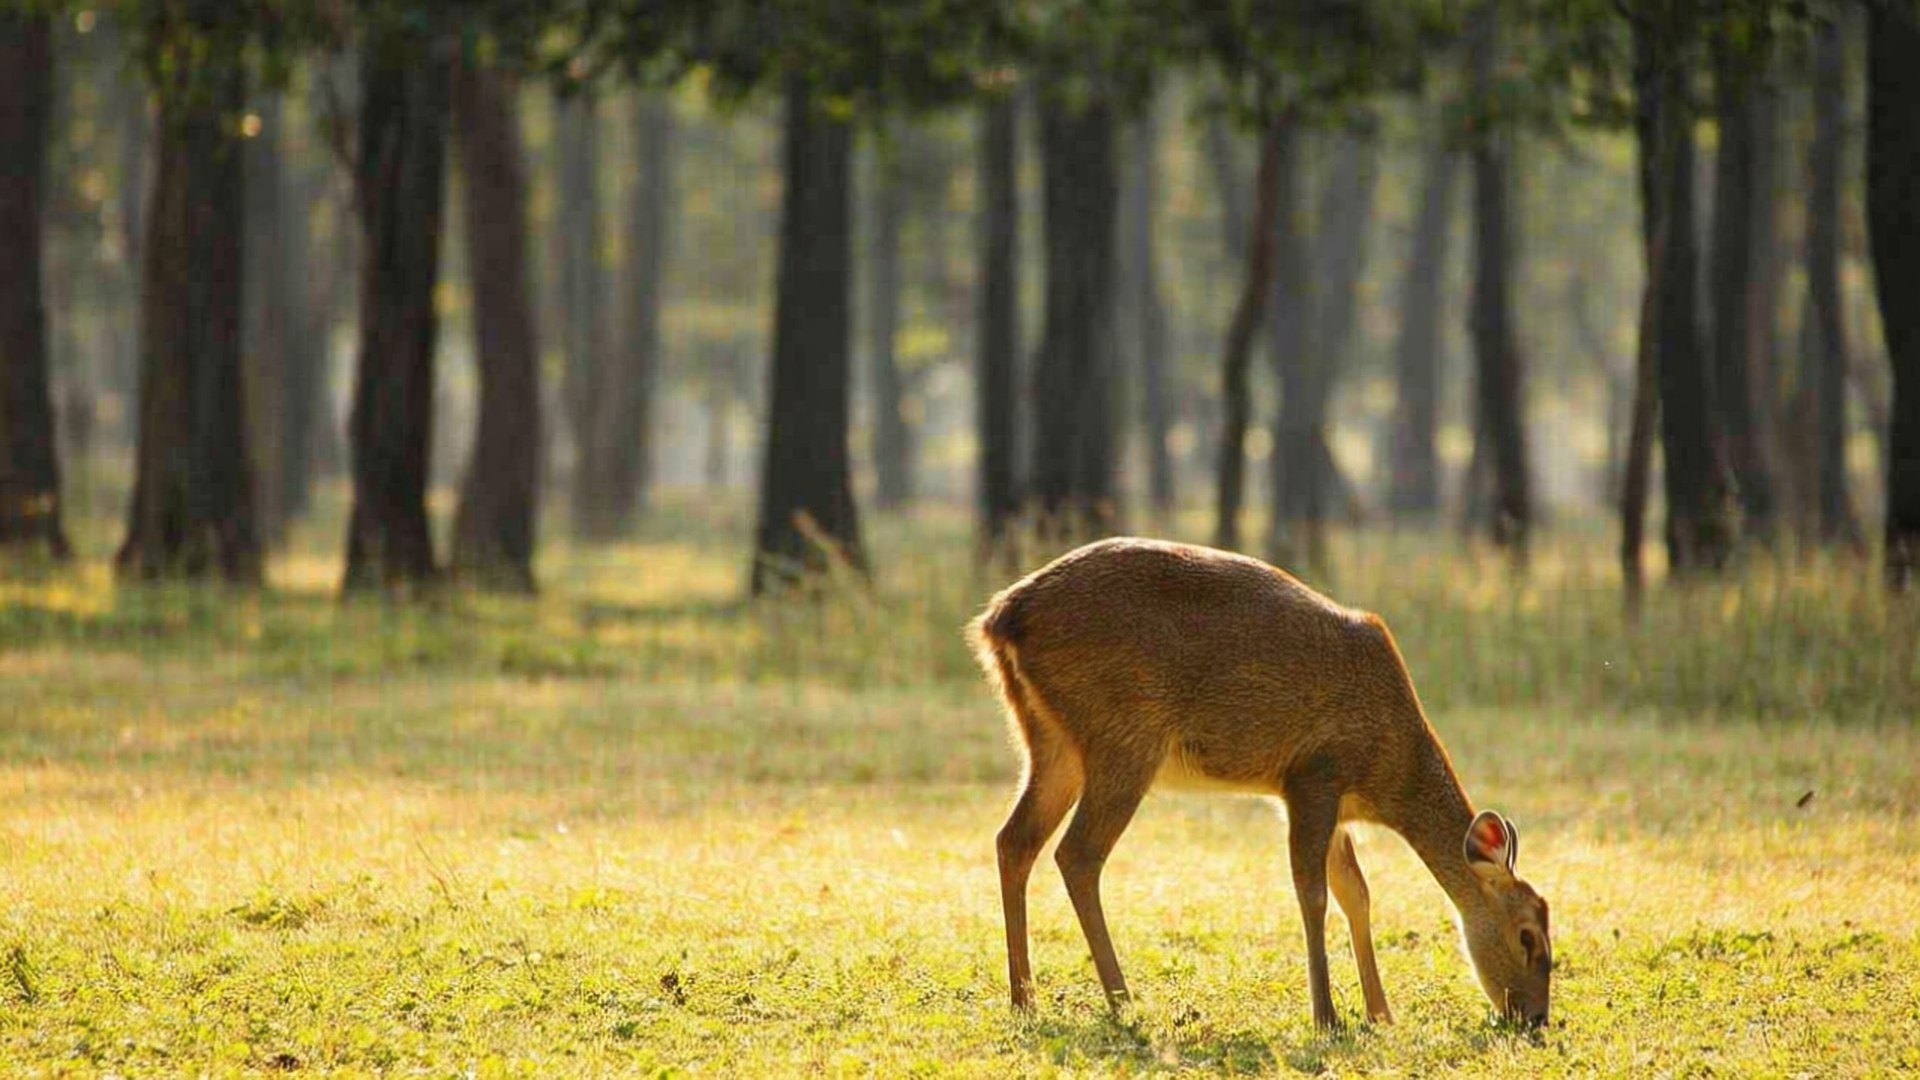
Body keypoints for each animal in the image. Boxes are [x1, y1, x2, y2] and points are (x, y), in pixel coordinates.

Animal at [967, 537, 1552, 1029]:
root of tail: (999, 620)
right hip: (1123, 736)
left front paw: (1381, 1014)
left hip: (1050, 742)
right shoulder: (1314, 774)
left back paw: (1024, 999)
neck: (1389, 772)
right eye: (1528, 936)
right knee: (1077, 853)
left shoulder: (1331, 804)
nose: (1535, 1019)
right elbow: (1312, 892)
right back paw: (1122, 1000)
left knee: (1014, 839)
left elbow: (1356, 893)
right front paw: (1327, 1017)